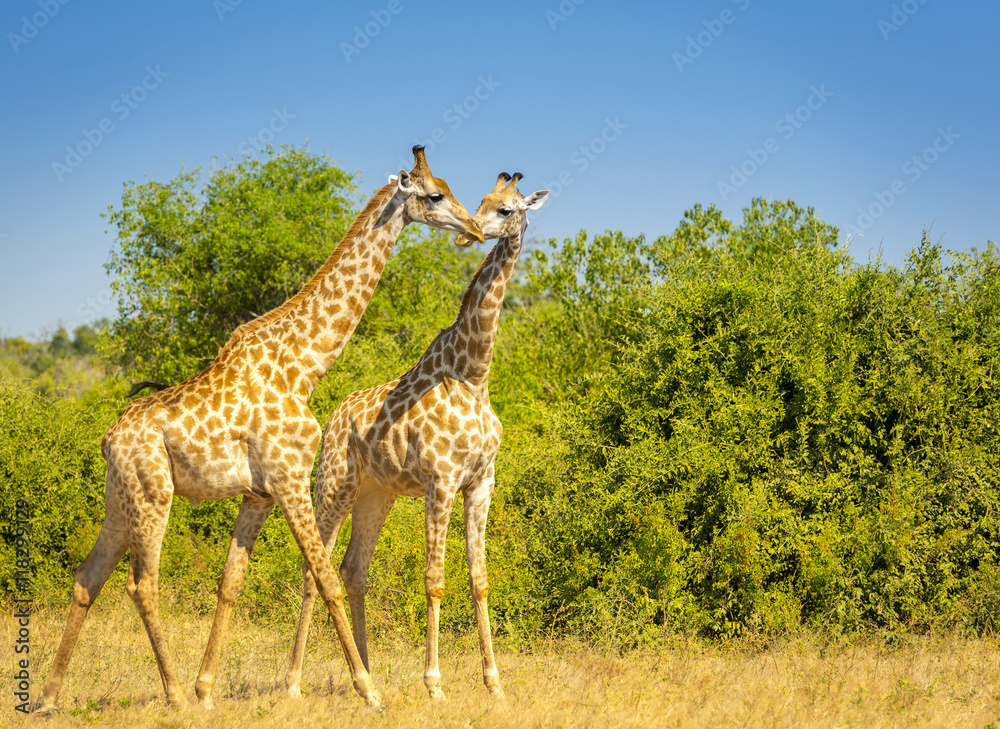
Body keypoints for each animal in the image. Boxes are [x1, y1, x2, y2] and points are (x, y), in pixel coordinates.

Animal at [35, 146, 484, 713]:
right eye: (434, 195)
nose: (474, 227)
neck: (304, 365)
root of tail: (108, 440)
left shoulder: (259, 492)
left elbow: (231, 582)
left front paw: (208, 689)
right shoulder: (290, 477)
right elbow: (326, 579)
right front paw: (369, 691)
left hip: (121, 497)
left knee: (87, 578)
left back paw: (49, 695)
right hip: (153, 493)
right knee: (143, 584)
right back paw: (172, 695)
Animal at [283, 172, 549, 700]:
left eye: (506, 209)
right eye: (483, 201)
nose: (470, 234)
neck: (474, 374)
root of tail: (334, 415)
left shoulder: (481, 482)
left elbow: (480, 579)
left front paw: (494, 682)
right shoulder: (440, 481)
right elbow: (435, 579)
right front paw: (434, 684)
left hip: (376, 494)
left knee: (354, 569)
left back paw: (366, 677)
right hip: (334, 485)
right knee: (313, 569)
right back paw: (296, 684)